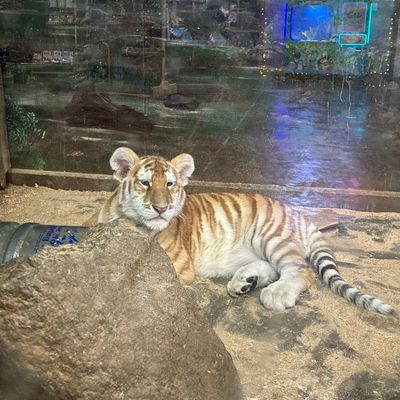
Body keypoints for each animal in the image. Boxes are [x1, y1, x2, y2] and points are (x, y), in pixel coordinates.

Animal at [97, 147, 394, 315]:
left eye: (170, 184)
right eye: (145, 183)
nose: (162, 209)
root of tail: (299, 214)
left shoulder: (178, 266)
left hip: (272, 237)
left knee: (301, 269)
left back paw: (275, 294)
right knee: (272, 268)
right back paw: (244, 282)